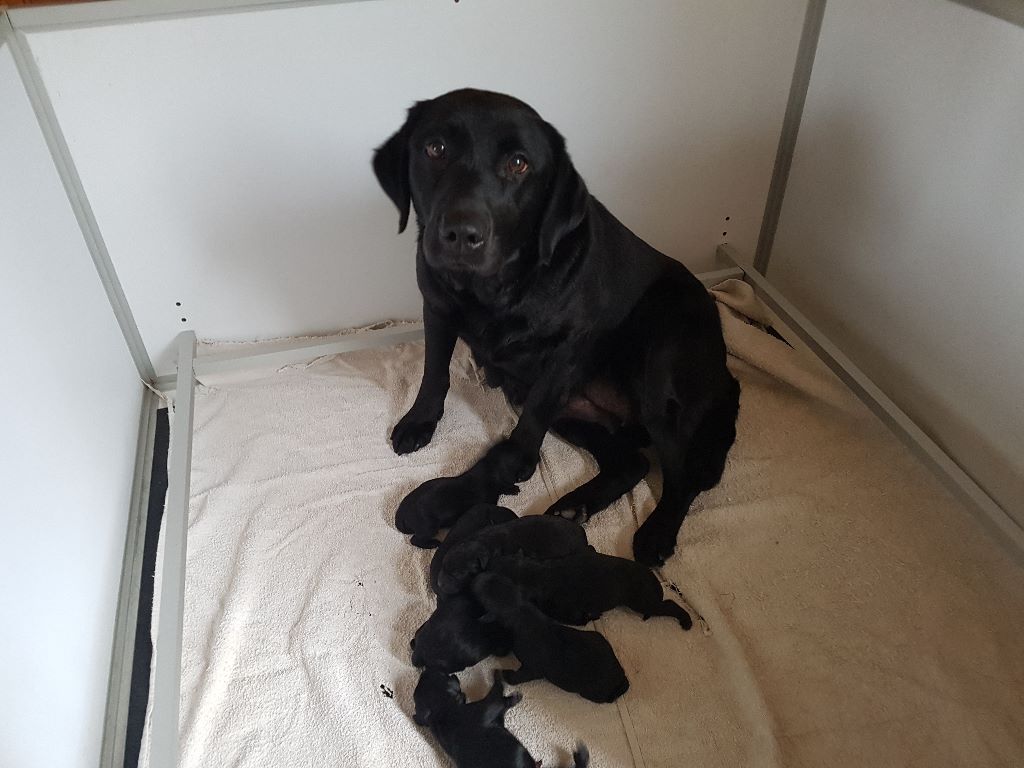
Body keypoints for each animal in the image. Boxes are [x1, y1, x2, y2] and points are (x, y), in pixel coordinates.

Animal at [372, 91, 741, 573]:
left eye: (519, 163)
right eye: (435, 148)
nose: (461, 234)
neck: (495, 288)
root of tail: (727, 376)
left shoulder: (567, 351)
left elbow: (532, 416)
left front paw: (514, 462)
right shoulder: (436, 307)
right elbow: (435, 372)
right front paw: (420, 421)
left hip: (658, 374)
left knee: (683, 474)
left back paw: (657, 533)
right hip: (581, 413)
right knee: (633, 465)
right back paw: (576, 504)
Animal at [411, 671, 589, 768]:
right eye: (443, 675)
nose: (425, 669)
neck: (442, 711)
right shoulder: (491, 704)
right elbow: (499, 690)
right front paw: (500, 676)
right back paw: (581, 755)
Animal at [475, 573, 626, 704]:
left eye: (484, 595)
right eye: (501, 577)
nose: (480, 576)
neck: (520, 610)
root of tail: (621, 679)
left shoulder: (531, 668)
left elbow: (517, 676)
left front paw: (504, 674)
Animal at [483, 552, 692, 630]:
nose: (486, 563)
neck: (534, 573)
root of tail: (651, 576)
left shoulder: (565, 611)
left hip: (643, 602)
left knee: (670, 605)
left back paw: (686, 621)